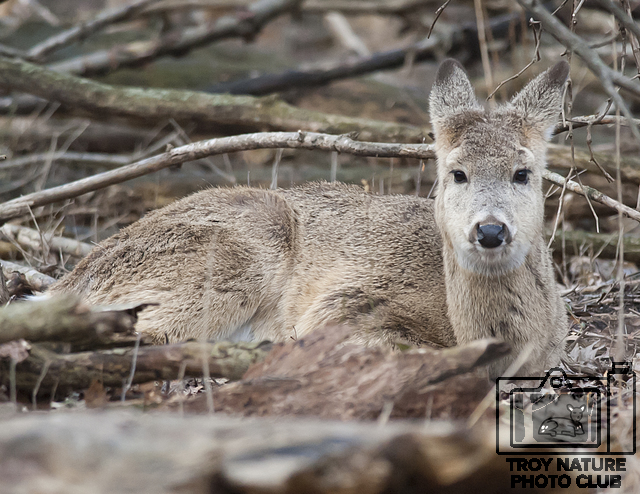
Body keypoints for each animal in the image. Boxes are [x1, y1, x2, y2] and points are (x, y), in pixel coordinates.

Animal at [48, 59, 570, 380]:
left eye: (523, 173)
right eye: (455, 173)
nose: (490, 230)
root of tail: (68, 282)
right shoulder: (349, 305)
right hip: (234, 257)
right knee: (144, 332)